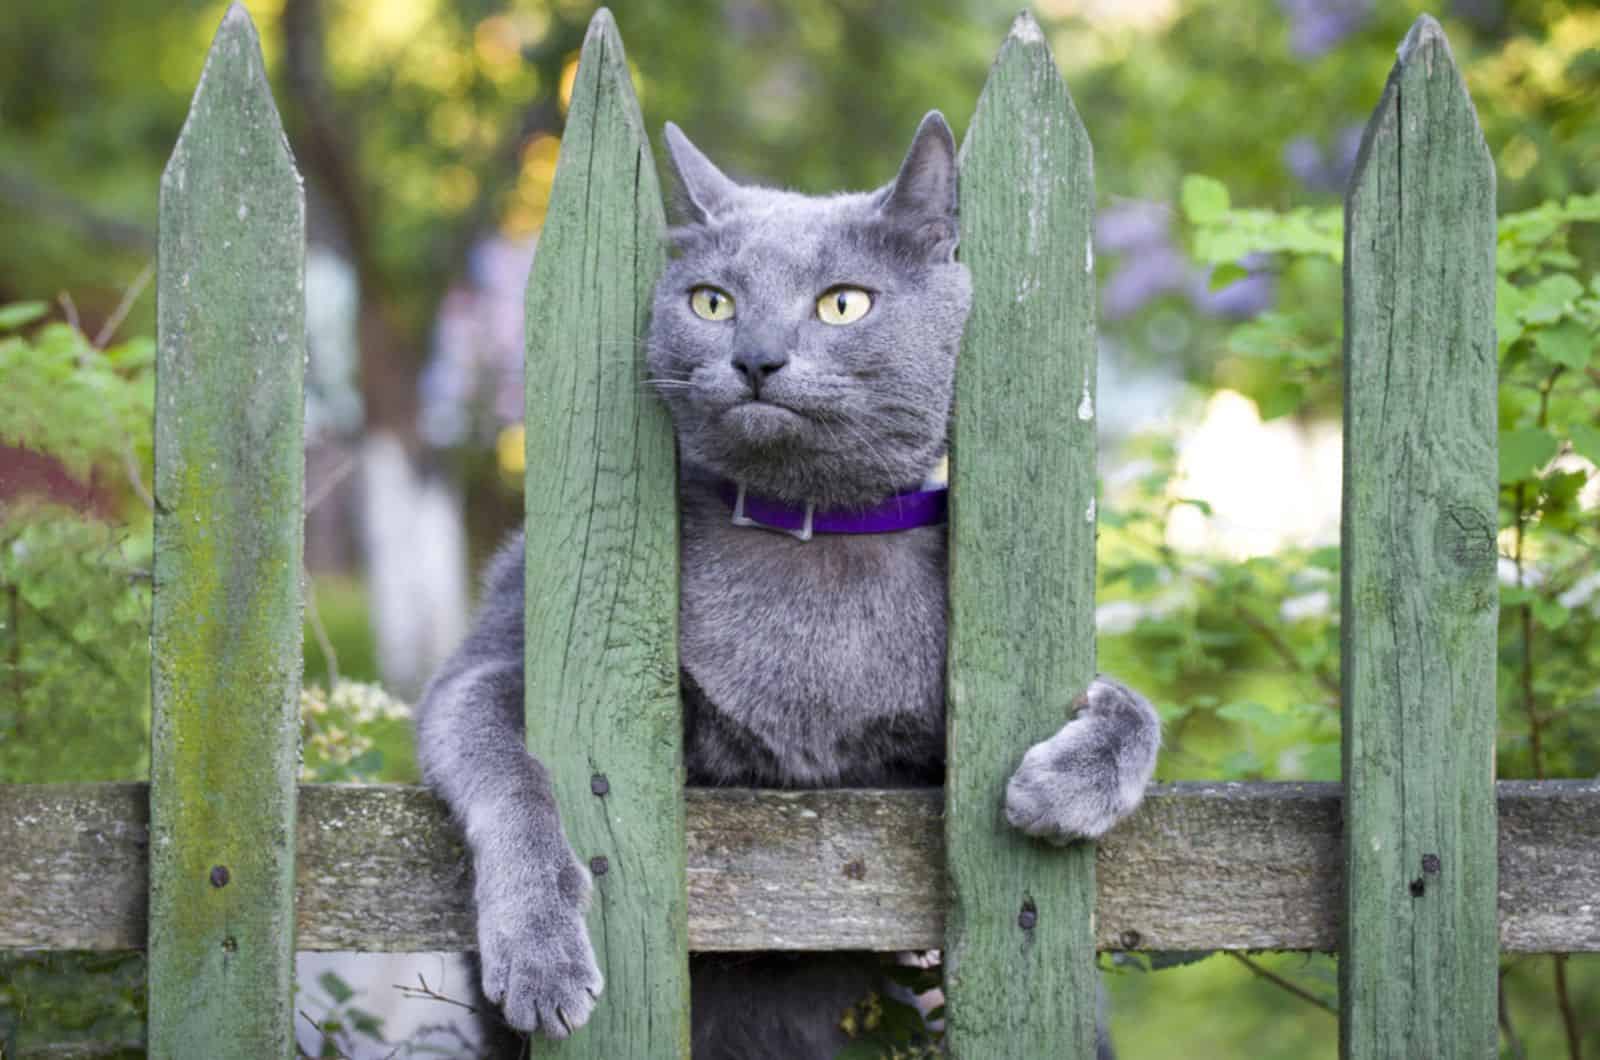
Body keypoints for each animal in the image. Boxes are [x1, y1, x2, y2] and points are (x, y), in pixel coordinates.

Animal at [416, 112, 1164, 1056]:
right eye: (712, 302)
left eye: (843, 302)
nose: (756, 358)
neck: (809, 530)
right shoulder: (490, 660)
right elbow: (507, 764)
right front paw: (542, 952)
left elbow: (1134, 706)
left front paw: (1065, 786)